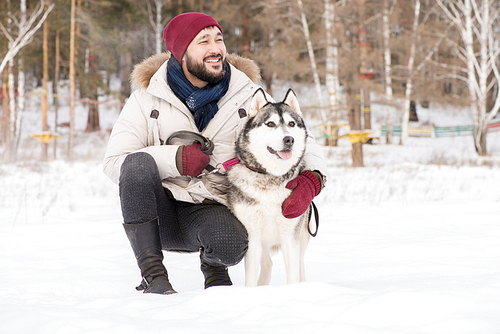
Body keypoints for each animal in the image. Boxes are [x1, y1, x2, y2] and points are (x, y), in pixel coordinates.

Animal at [228, 88, 312, 288]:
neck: (270, 179)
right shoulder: (252, 236)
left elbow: (293, 274)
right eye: (270, 124)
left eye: (291, 123)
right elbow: (251, 276)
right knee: (267, 263)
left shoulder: (290, 236)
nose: (288, 139)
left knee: (299, 264)